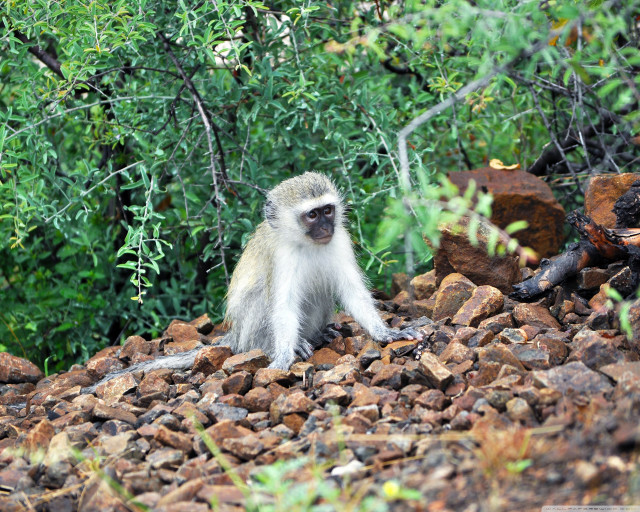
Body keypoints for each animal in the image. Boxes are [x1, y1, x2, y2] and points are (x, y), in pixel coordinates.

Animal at [86, 172, 421, 390]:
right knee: (265, 298)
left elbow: (352, 292)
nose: (326, 227)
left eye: (328, 210)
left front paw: (386, 333)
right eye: (312, 215)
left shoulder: (339, 241)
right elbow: (283, 306)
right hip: (247, 333)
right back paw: (284, 344)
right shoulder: (281, 256)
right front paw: (283, 356)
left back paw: (317, 334)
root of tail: (235, 337)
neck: (306, 244)